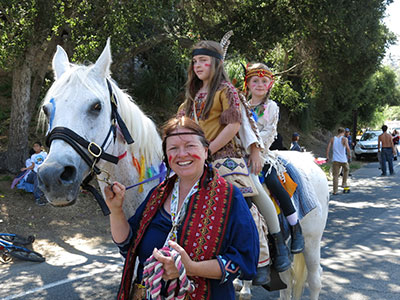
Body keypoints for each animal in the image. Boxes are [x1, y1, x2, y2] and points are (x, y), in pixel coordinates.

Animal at [39, 41, 330, 298]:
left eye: (96, 106)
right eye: (47, 108)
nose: (53, 176)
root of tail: (311, 161)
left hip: (312, 242)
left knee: (314, 280)